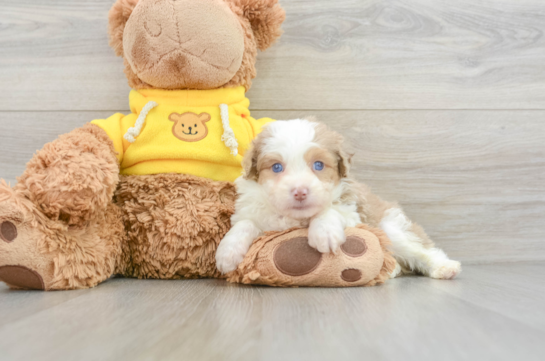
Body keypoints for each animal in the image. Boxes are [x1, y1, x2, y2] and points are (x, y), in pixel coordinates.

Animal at [215, 118, 462, 278]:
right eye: (276, 167)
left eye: (318, 165)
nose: (300, 192)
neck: (296, 219)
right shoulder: (253, 210)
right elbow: (244, 223)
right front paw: (228, 252)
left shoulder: (354, 211)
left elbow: (330, 210)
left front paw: (323, 232)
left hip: (392, 227)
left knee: (420, 249)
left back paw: (444, 268)